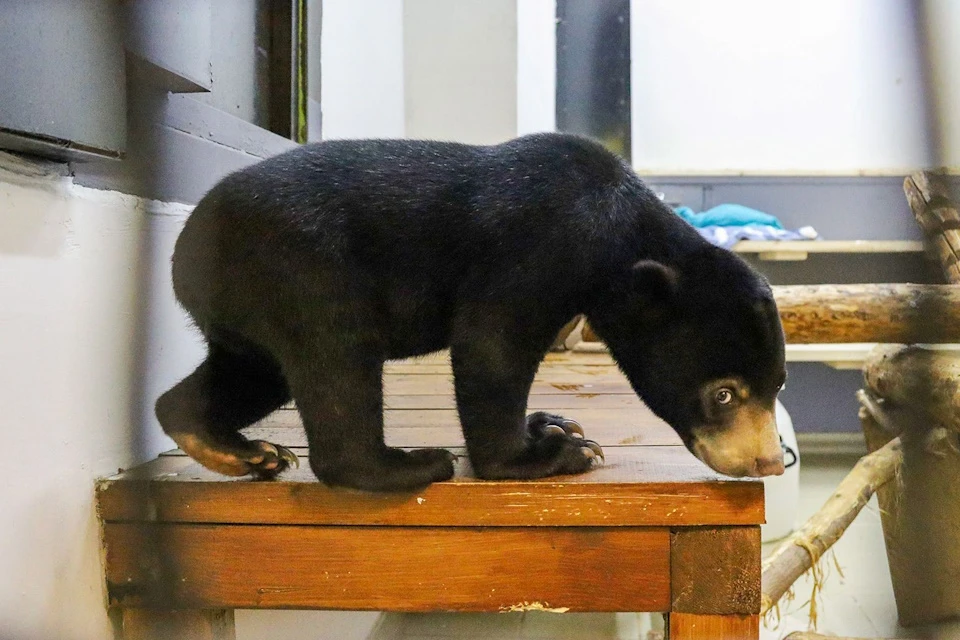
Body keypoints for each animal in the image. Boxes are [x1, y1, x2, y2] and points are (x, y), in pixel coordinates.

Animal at [159, 132, 788, 492]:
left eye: (778, 384)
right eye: (723, 394)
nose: (769, 463)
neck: (615, 229)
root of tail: (183, 251)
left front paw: (553, 423)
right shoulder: (538, 246)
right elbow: (491, 342)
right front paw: (553, 454)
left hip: (250, 303)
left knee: (253, 371)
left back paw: (235, 447)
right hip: (301, 269)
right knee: (336, 357)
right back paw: (407, 466)